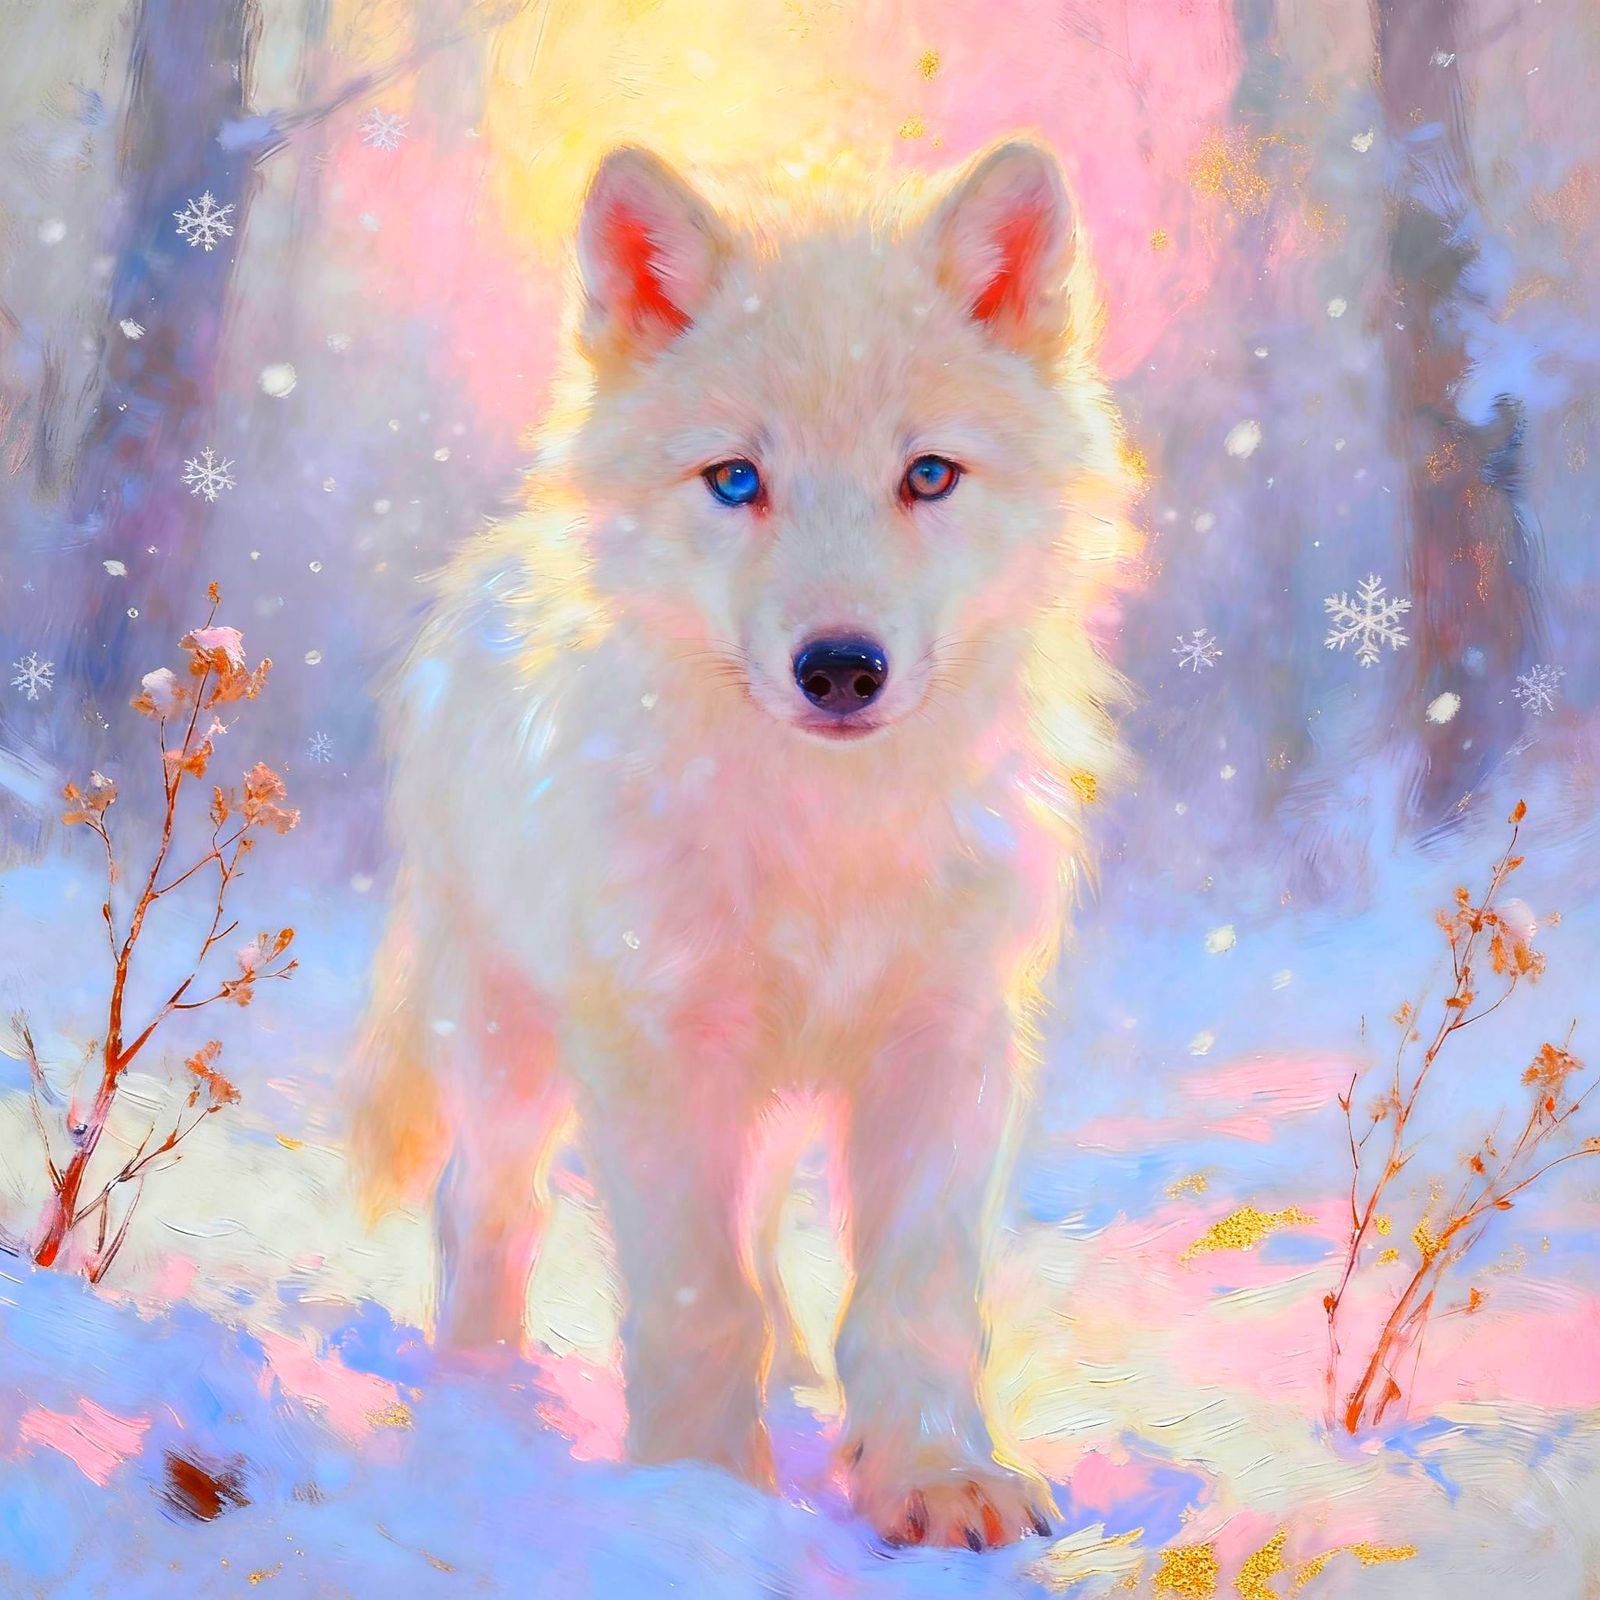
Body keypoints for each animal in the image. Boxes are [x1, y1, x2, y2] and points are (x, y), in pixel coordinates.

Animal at [353, 135, 1132, 1549]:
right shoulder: (661, 1051)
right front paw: (699, 1498)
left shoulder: (948, 1043)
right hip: (512, 1052)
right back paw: (478, 1398)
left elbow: (918, 1294)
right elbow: (693, 1301)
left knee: (766, 1251)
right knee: (484, 1205)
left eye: (926, 474)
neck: (827, 838)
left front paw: (936, 1478)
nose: (840, 668)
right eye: (734, 479)